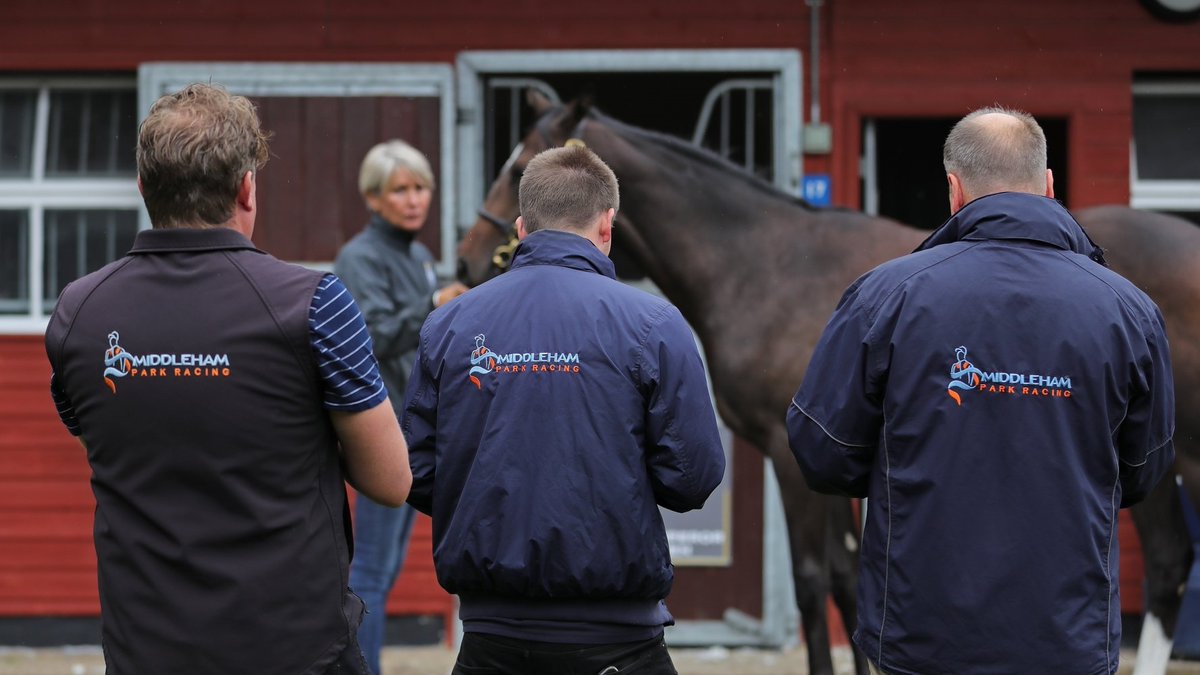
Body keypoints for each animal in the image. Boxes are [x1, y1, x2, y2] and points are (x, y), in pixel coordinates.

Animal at [453, 90, 1195, 672]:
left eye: (517, 166)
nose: (466, 258)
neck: (765, 263)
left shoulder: (792, 453)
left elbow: (814, 584)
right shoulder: (839, 456)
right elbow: (846, 580)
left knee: (1165, 563)